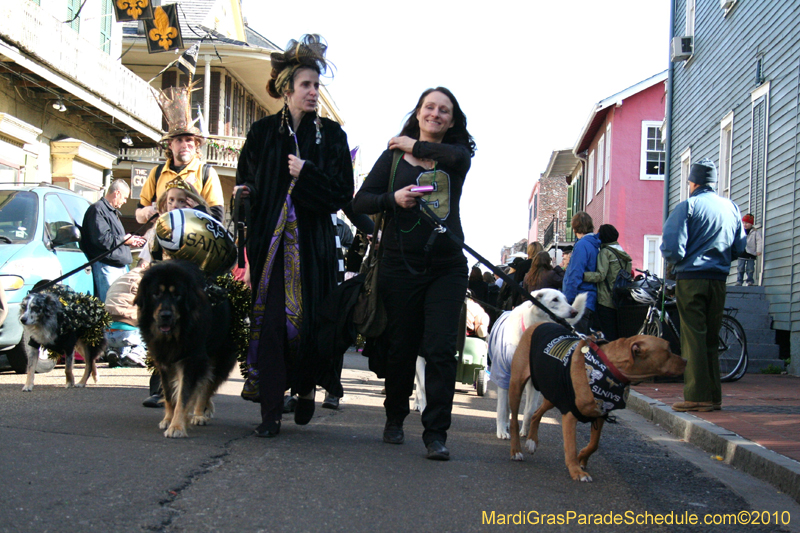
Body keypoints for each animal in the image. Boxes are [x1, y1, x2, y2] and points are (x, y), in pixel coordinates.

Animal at [137, 260, 238, 438]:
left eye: (177, 295)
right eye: (156, 294)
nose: (165, 315)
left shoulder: (191, 359)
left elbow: (184, 397)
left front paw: (177, 426)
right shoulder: (164, 360)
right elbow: (170, 395)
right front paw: (169, 420)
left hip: (219, 358)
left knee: (206, 387)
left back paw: (199, 414)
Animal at [488, 288, 588, 438]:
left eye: (566, 299)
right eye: (555, 300)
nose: (574, 312)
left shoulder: (534, 381)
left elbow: (529, 410)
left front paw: (525, 430)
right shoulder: (503, 373)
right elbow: (501, 407)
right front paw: (501, 431)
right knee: (505, 404)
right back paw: (504, 425)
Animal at [510, 322, 684, 480]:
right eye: (668, 350)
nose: (686, 360)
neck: (609, 368)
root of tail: (538, 324)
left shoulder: (599, 413)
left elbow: (594, 444)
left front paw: (582, 458)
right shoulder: (570, 413)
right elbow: (571, 447)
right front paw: (576, 472)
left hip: (554, 392)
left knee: (536, 413)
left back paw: (532, 441)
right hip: (517, 387)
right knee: (514, 421)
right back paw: (516, 450)